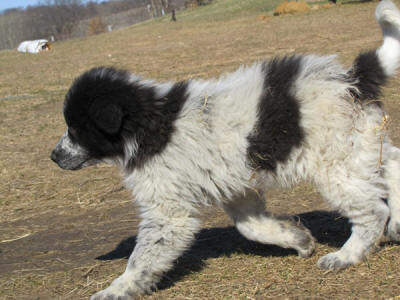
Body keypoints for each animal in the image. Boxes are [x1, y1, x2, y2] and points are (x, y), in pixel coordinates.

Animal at [52, 1, 400, 298]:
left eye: (75, 130)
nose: (54, 156)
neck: (151, 122)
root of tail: (353, 77)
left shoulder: (168, 211)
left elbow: (141, 259)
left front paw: (117, 289)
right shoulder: (237, 189)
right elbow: (253, 227)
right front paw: (298, 240)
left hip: (335, 162)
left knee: (372, 211)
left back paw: (347, 254)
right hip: (360, 141)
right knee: (393, 164)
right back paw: (396, 223)